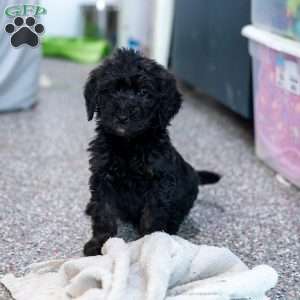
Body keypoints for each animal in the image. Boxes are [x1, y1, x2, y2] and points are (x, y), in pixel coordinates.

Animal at [83, 48, 219, 255]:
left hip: (188, 188)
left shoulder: (158, 182)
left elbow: (152, 215)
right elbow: (103, 212)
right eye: (110, 91)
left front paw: (149, 244)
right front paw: (100, 243)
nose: (122, 116)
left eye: (143, 93)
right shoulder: (102, 177)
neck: (129, 144)